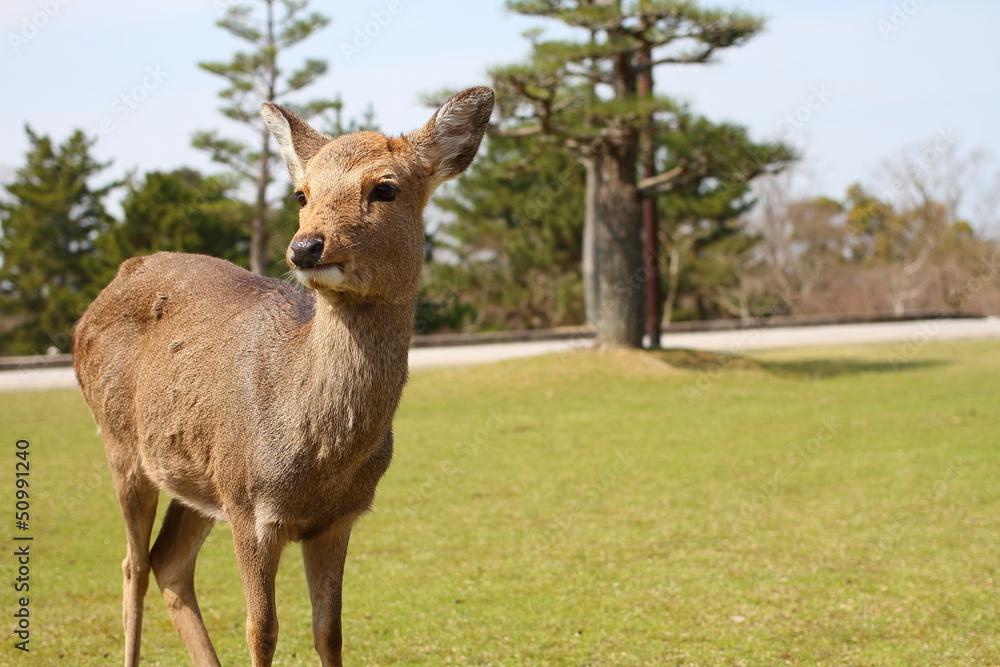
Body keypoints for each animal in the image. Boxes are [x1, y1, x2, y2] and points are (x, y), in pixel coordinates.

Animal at [72, 86, 495, 667]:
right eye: (301, 194)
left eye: (385, 188)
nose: (306, 247)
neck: (317, 462)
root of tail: (114, 280)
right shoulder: (250, 506)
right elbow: (262, 630)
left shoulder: (338, 517)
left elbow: (329, 631)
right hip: (123, 443)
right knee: (133, 566)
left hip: (201, 474)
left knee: (169, 563)